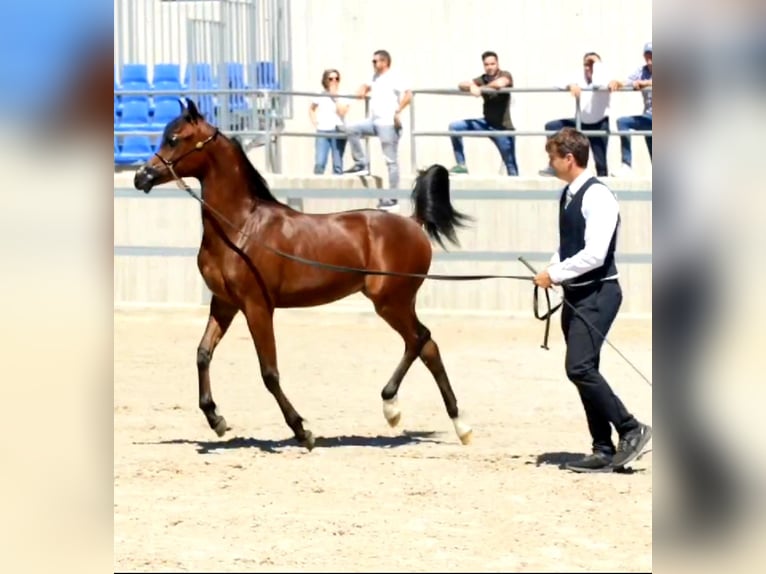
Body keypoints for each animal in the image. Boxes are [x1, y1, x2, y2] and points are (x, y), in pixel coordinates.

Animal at [135, 98, 476, 450]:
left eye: (174, 139)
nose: (141, 176)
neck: (241, 229)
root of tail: (413, 222)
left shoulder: (257, 307)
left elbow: (269, 372)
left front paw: (302, 430)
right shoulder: (224, 303)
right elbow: (203, 354)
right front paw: (216, 419)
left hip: (390, 302)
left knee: (420, 339)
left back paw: (398, 408)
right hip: (398, 303)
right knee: (425, 346)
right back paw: (452, 424)